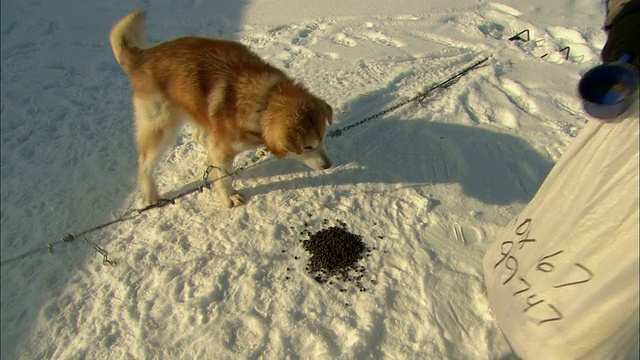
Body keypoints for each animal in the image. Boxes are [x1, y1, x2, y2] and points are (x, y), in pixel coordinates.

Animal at [108, 9, 332, 208]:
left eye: (322, 139)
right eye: (307, 147)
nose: (329, 165)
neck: (266, 101)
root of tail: (141, 56)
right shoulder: (222, 149)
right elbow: (223, 177)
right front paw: (229, 196)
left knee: (199, 137)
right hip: (162, 129)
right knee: (145, 163)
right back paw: (151, 194)